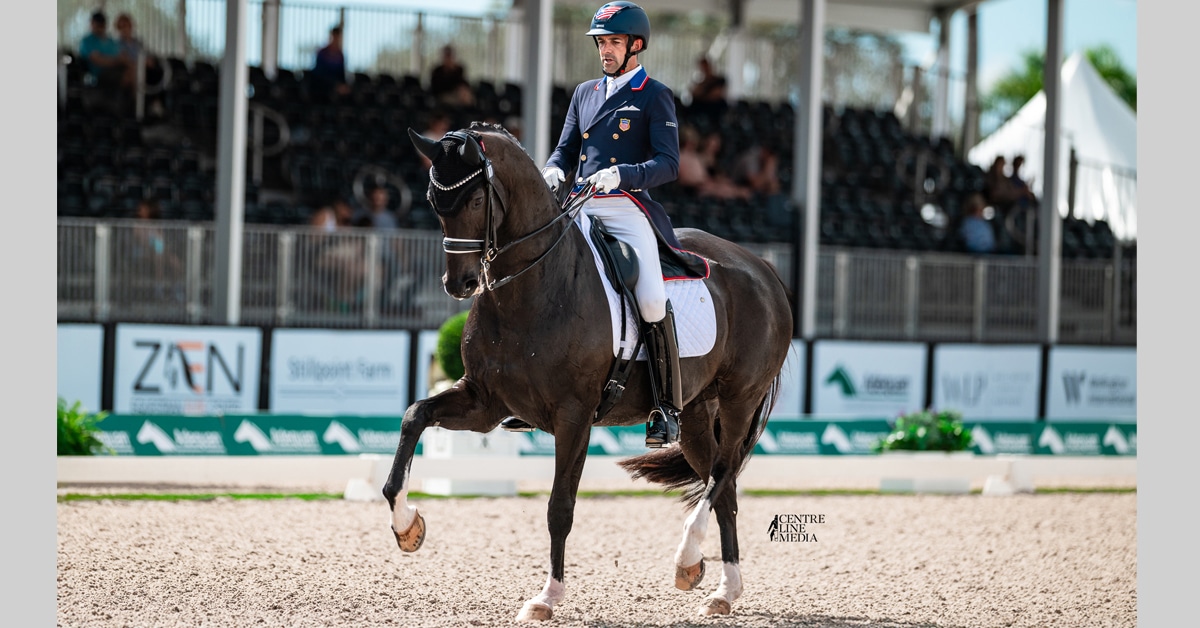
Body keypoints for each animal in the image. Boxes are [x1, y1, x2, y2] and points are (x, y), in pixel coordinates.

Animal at [382, 122, 793, 621]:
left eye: (477, 200)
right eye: (432, 200)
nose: (459, 284)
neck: (532, 286)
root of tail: (762, 268)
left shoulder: (574, 416)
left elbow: (560, 507)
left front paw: (546, 597)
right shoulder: (484, 402)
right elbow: (414, 417)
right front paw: (407, 526)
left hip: (738, 399)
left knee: (722, 471)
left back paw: (687, 559)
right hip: (696, 412)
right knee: (725, 488)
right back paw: (721, 589)